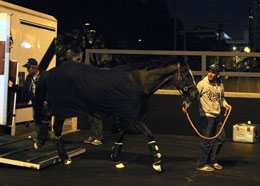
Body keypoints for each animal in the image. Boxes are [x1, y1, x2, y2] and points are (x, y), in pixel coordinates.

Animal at [34, 60, 197, 173]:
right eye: (187, 74)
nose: (195, 94)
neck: (139, 82)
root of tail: (51, 72)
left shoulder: (127, 115)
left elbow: (121, 134)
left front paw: (116, 159)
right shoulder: (135, 117)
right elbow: (149, 134)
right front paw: (157, 162)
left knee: (55, 125)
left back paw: (63, 156)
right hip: (62, 106)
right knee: (48, 116)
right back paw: (41, 143)